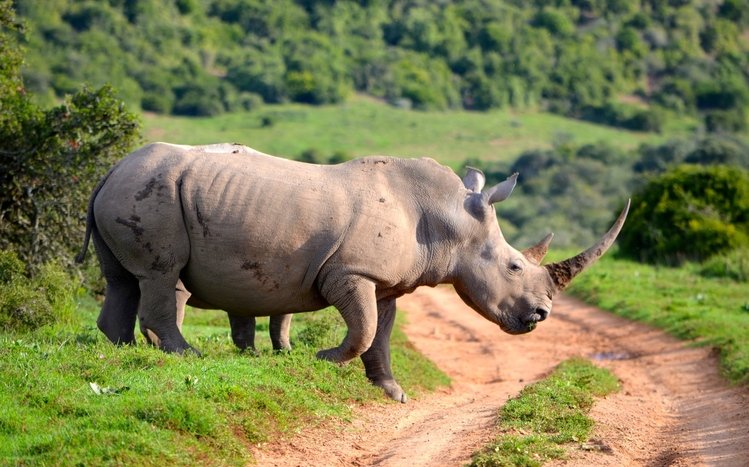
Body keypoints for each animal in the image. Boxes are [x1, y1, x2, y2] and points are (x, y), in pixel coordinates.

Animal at [78, 142, 629, 402]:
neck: (449, 219)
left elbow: (380, 334)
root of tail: (109, 169)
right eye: (514, 266)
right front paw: (322, 359)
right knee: (160, 274)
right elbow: (362, 330)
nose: (541, 315)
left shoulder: (385, 284)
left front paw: (392, 392)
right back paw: (184, 355)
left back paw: (123, 351)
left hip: (133, 189)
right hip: (152, 193)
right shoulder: (351, 272)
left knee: (123, 279)